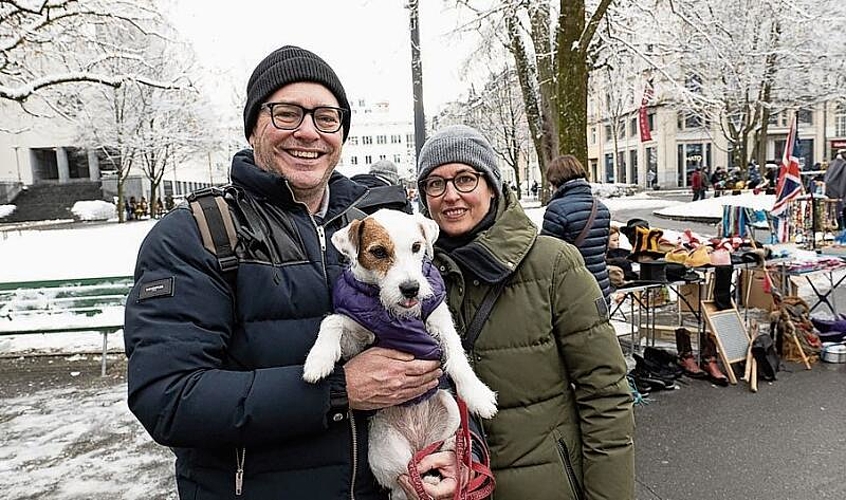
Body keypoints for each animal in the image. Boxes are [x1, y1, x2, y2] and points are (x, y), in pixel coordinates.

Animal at [304, 208, 500, 500]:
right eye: (378, 252)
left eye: (417, 247)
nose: (411, 288)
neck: (398, 315)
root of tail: (418, 444)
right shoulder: (356, 337)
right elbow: (332, 321)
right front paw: (318, 361)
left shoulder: (438, 318)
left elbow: (456, 356)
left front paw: (477, 395)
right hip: (384, 452)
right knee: (403, 479)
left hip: (451, 409)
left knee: (442, 447)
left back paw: (456, 449)